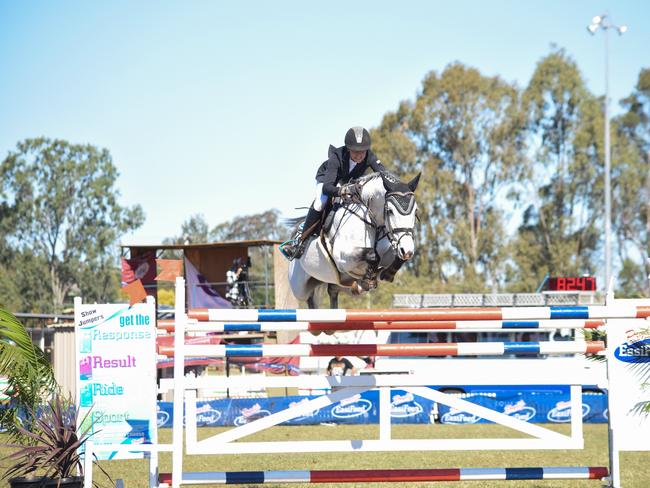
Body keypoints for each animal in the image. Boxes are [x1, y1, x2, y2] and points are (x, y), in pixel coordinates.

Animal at [286, 172, 418, 306]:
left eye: (415, 211)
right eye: (390, 211)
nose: (407, 250)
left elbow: (394, 258)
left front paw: (387, 274)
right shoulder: (342, 257)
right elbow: (372, 255)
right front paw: (368, 281)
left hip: (330, 283)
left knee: (332, 291)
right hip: (300, 288)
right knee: (310, 300)